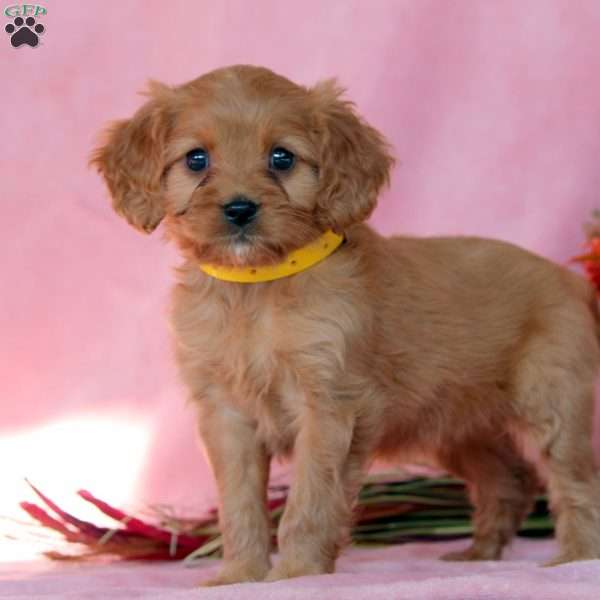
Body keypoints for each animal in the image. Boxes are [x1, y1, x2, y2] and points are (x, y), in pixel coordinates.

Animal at [91, 67, 600, 584]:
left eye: (282, 157)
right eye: (196, 159)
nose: (239, 209)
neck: (257, 286)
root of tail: (569, 279)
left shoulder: (329, 405)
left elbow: (309, 500)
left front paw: (296, 573)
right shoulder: (226, 414)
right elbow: (239, 503)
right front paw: (239, 575)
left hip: (552, 408)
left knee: (576, 483)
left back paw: (575, 558)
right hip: (460, 430)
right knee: (509, 481)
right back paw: (479, 556)